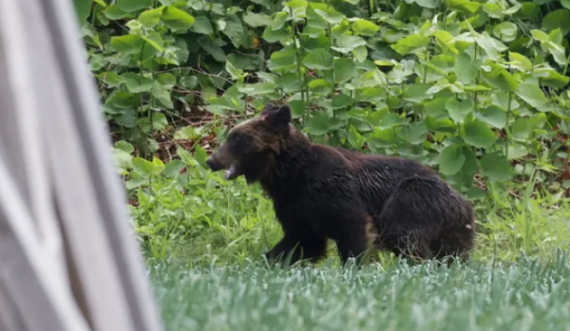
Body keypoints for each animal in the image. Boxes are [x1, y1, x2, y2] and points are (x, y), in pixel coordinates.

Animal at [205, 104, 474, 268]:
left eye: (237, 138)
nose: (211, 160)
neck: (289, 175)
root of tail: (463, 200)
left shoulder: (333, 192)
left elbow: (353, 229)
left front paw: (354, 268)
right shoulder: (294, 206)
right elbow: (301, 241)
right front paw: (268, 261)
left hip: (414, 198)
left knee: (403, 234)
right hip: (455, 230)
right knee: (452, 253)